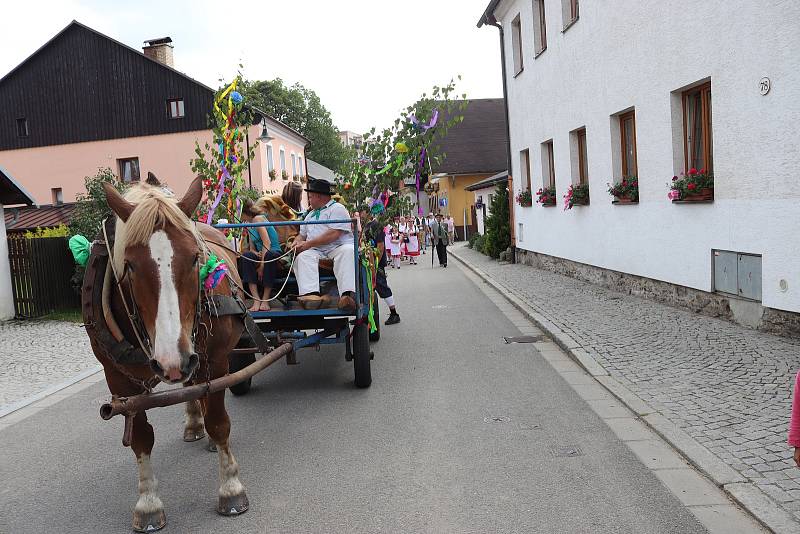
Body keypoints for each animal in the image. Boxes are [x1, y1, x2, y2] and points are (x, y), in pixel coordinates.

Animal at [88, 176, 248, 532]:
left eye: (194, 258)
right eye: (130, 265)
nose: (173, 361)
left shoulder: (216, 361)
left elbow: (220, 422)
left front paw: (231, 488)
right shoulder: (118, 380)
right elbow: (140, 438)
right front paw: (148, 504)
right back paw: (193, 424)